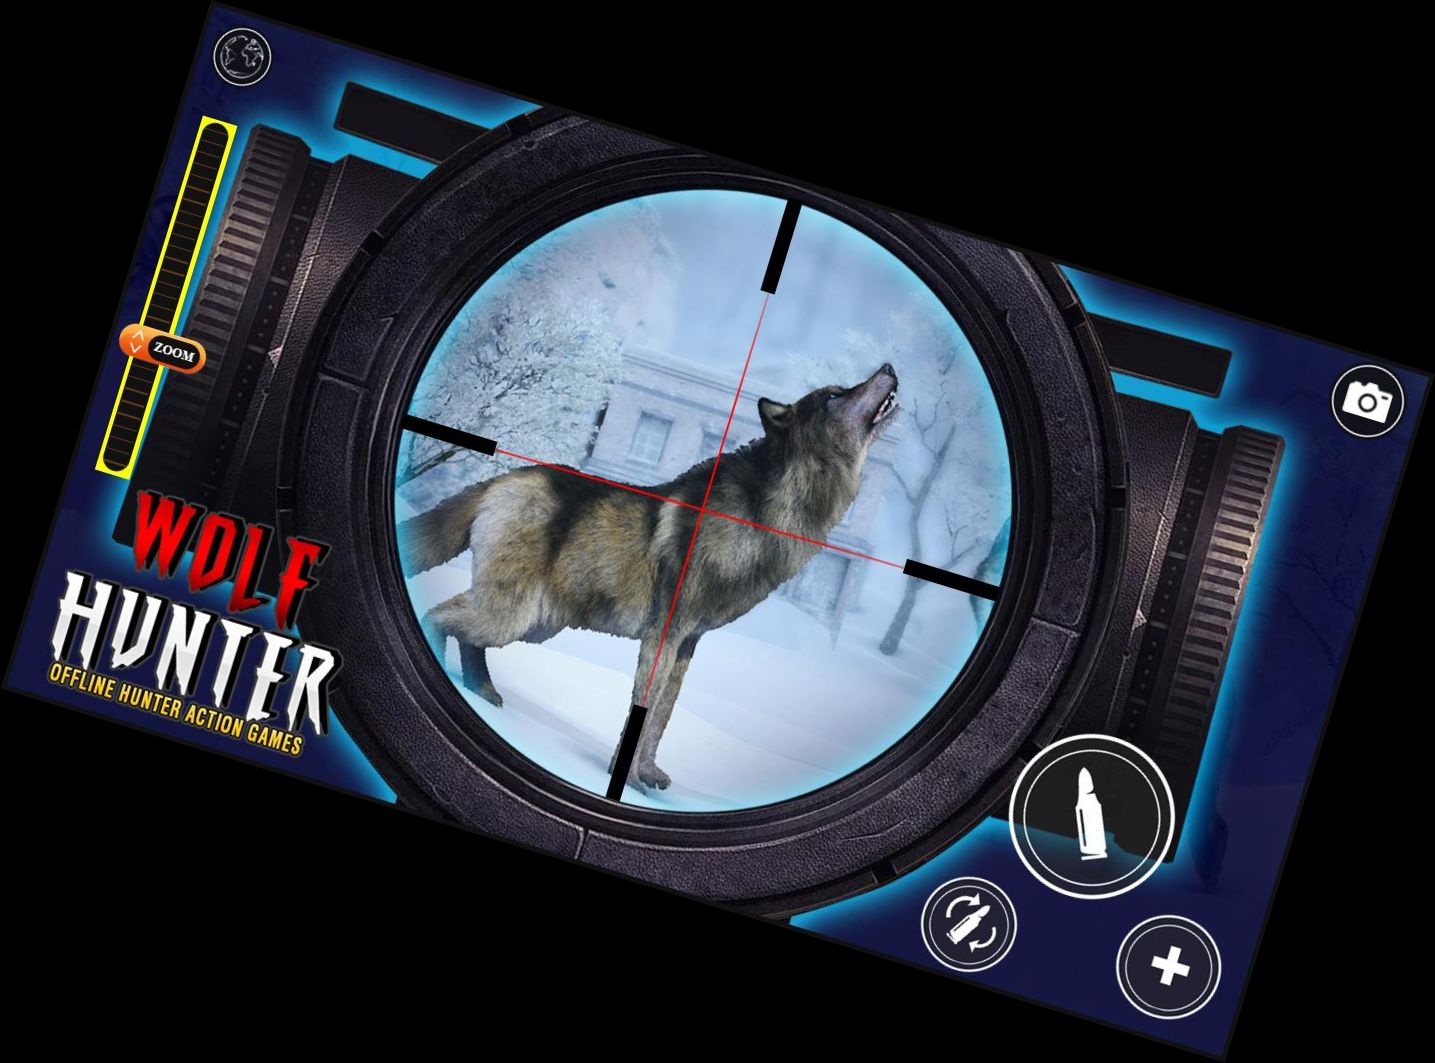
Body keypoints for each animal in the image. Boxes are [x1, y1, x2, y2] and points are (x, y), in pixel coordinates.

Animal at [399, 363, 899, 790]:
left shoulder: (687, 645)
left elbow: (660, 718)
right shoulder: (664, 635)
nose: (890, 368)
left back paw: (482, 692)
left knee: (467, 637)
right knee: (437, 614)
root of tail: (502, 480)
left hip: (537, 623)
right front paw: (627, 777)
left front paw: (648, 775)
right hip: (514, 616)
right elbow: (643, 708)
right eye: (834, 395)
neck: (767, 512)